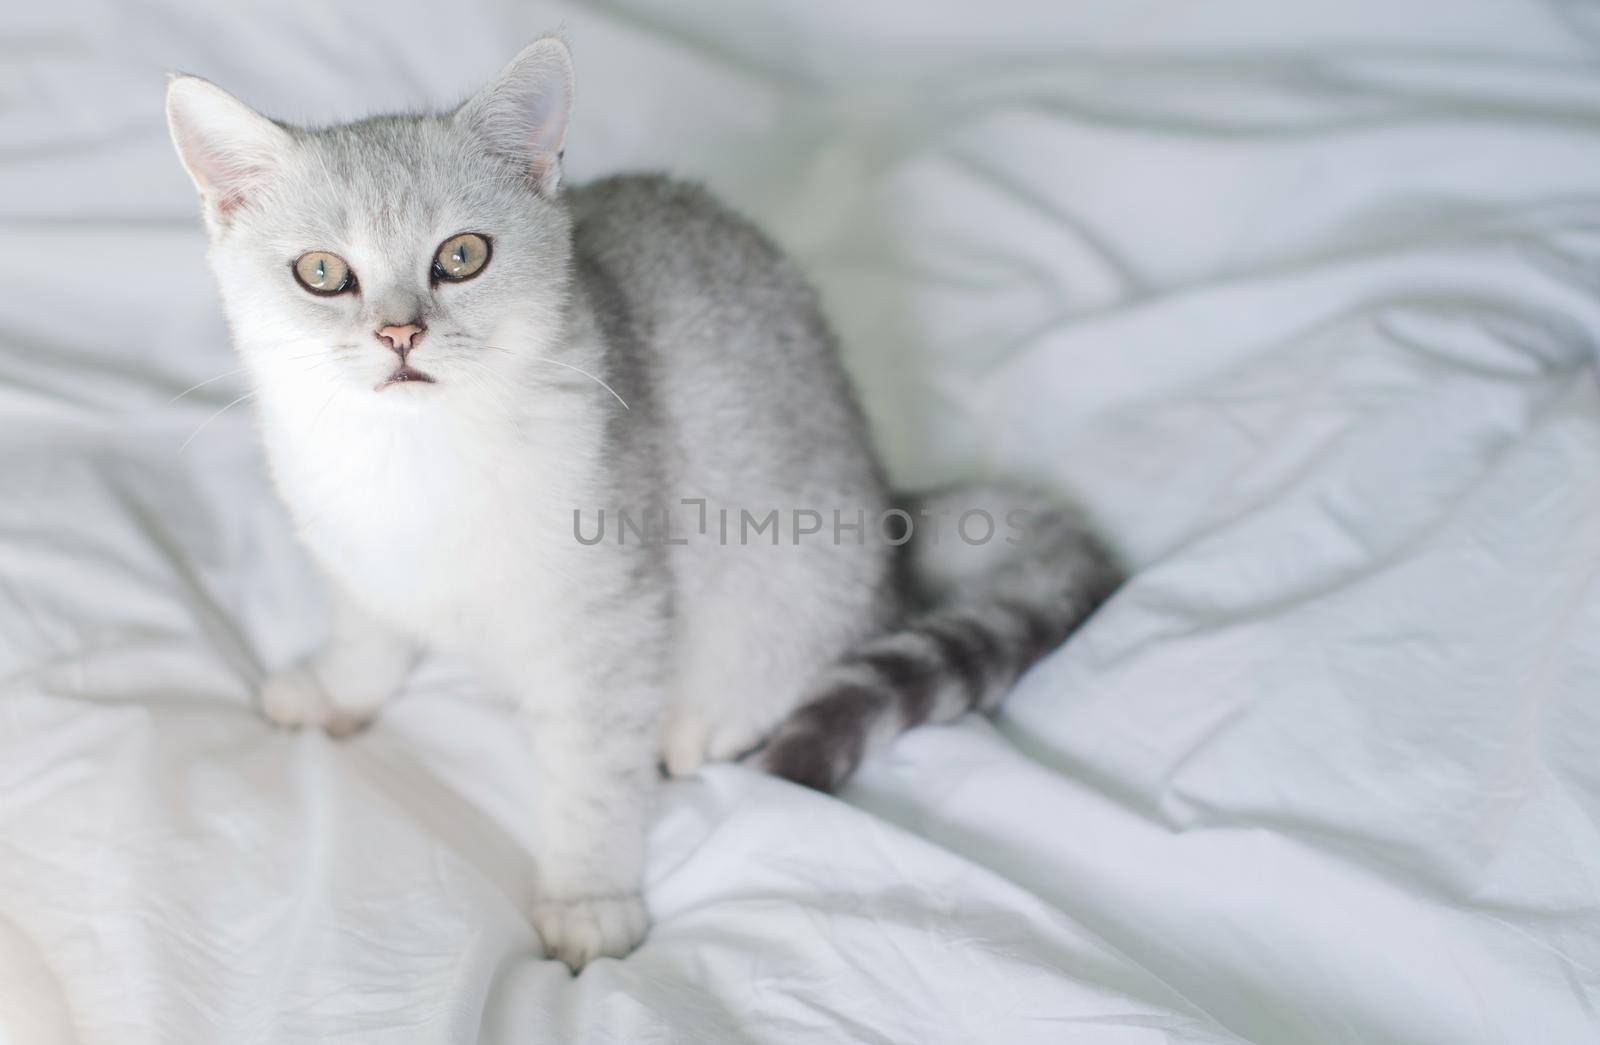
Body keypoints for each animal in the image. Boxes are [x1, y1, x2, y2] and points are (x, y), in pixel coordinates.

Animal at [159, 38, 1113, 972]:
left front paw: (588, 896)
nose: (401, 332)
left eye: (461, 256)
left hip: (796, 558)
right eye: (322, 272)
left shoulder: (609, 608)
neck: (414, 461)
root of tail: (886, 502)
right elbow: (368, 631)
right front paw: (340, 689)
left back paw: (710, 719)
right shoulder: (357, 557)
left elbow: (591, 770)